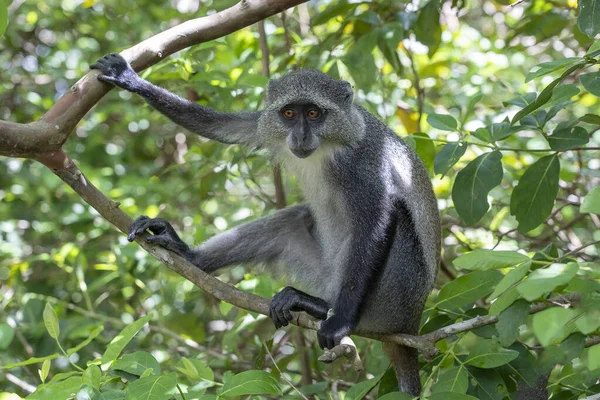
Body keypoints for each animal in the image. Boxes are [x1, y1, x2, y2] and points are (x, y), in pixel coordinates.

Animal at [91, 51, 442, 396]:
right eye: (289, 113)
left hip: (391, 301)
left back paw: (321, 308)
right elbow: (226, 125)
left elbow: (377, 222)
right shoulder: (267, 125)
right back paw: (189, 255)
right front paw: (129, 78)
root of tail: (410, 324)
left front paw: (340, 322)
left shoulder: (365, 163)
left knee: (398, 220)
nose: (300, 135)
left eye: (313, 113)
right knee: (292, 220)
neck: (330, 145)